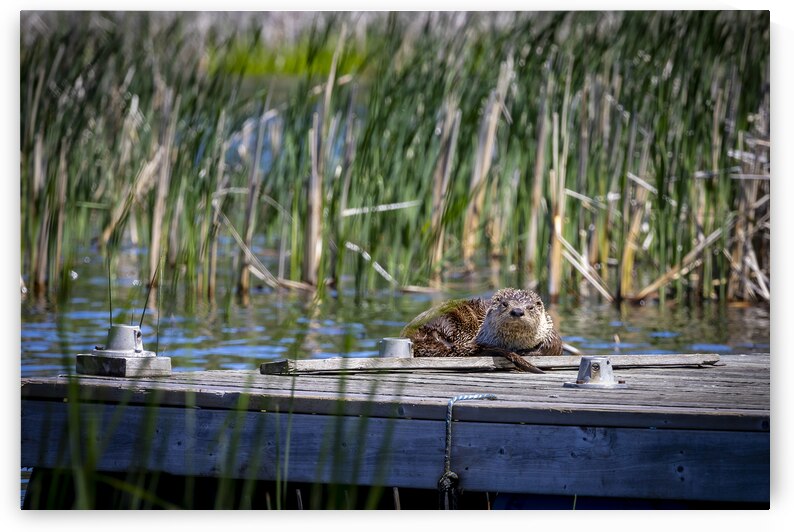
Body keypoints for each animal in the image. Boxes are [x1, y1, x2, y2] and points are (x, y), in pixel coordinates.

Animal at [401, 288, 562, 373]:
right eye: (505, 304)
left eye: (530, 307)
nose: (517, 311)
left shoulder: (550, 333)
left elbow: (552, 348)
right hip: (448, 318)